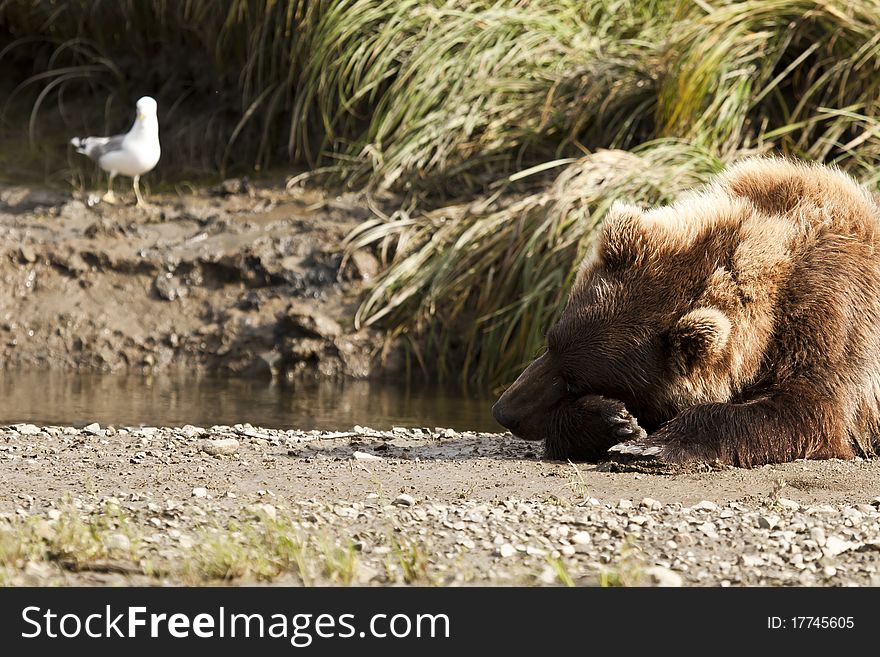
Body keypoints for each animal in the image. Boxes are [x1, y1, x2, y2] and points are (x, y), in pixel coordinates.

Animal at [492, 157, 876, 466]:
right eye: (550, 342)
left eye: (576, 380)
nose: (504, 411)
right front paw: (614, 423)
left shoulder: (834, 318)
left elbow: (811, 410)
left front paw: (649, 447)